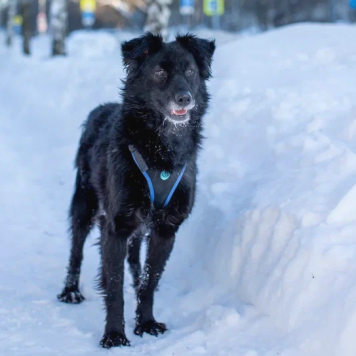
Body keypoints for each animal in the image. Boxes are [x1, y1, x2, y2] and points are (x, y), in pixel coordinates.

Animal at [57, 32, 214, 350]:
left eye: (190, 71)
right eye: (160, 72)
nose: (185, 98)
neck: (161, 151)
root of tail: (101, 107)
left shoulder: (166, 228)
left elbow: (150, 280)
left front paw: (146, 322)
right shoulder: (115, 225)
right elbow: (114, 285)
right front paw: (115, 334)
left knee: (134, 258)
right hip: (85, 203)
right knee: (76, 249)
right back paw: (70, 290)